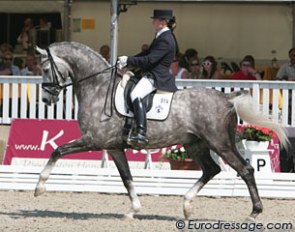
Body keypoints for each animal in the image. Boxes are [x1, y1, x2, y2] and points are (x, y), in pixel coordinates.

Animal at [34, 42, 290, 221]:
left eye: (46, 69)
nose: (46, 99)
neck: (97, 87)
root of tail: (227, 98)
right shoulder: (114, 147)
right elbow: (127, 178)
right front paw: (133, 211)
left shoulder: (93, 140)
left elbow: (57, 151)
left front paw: (39, 187)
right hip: (194, 144)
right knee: (211, 169)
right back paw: (186, 206)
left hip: (220, 143)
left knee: (245, 169)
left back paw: (253, 213)